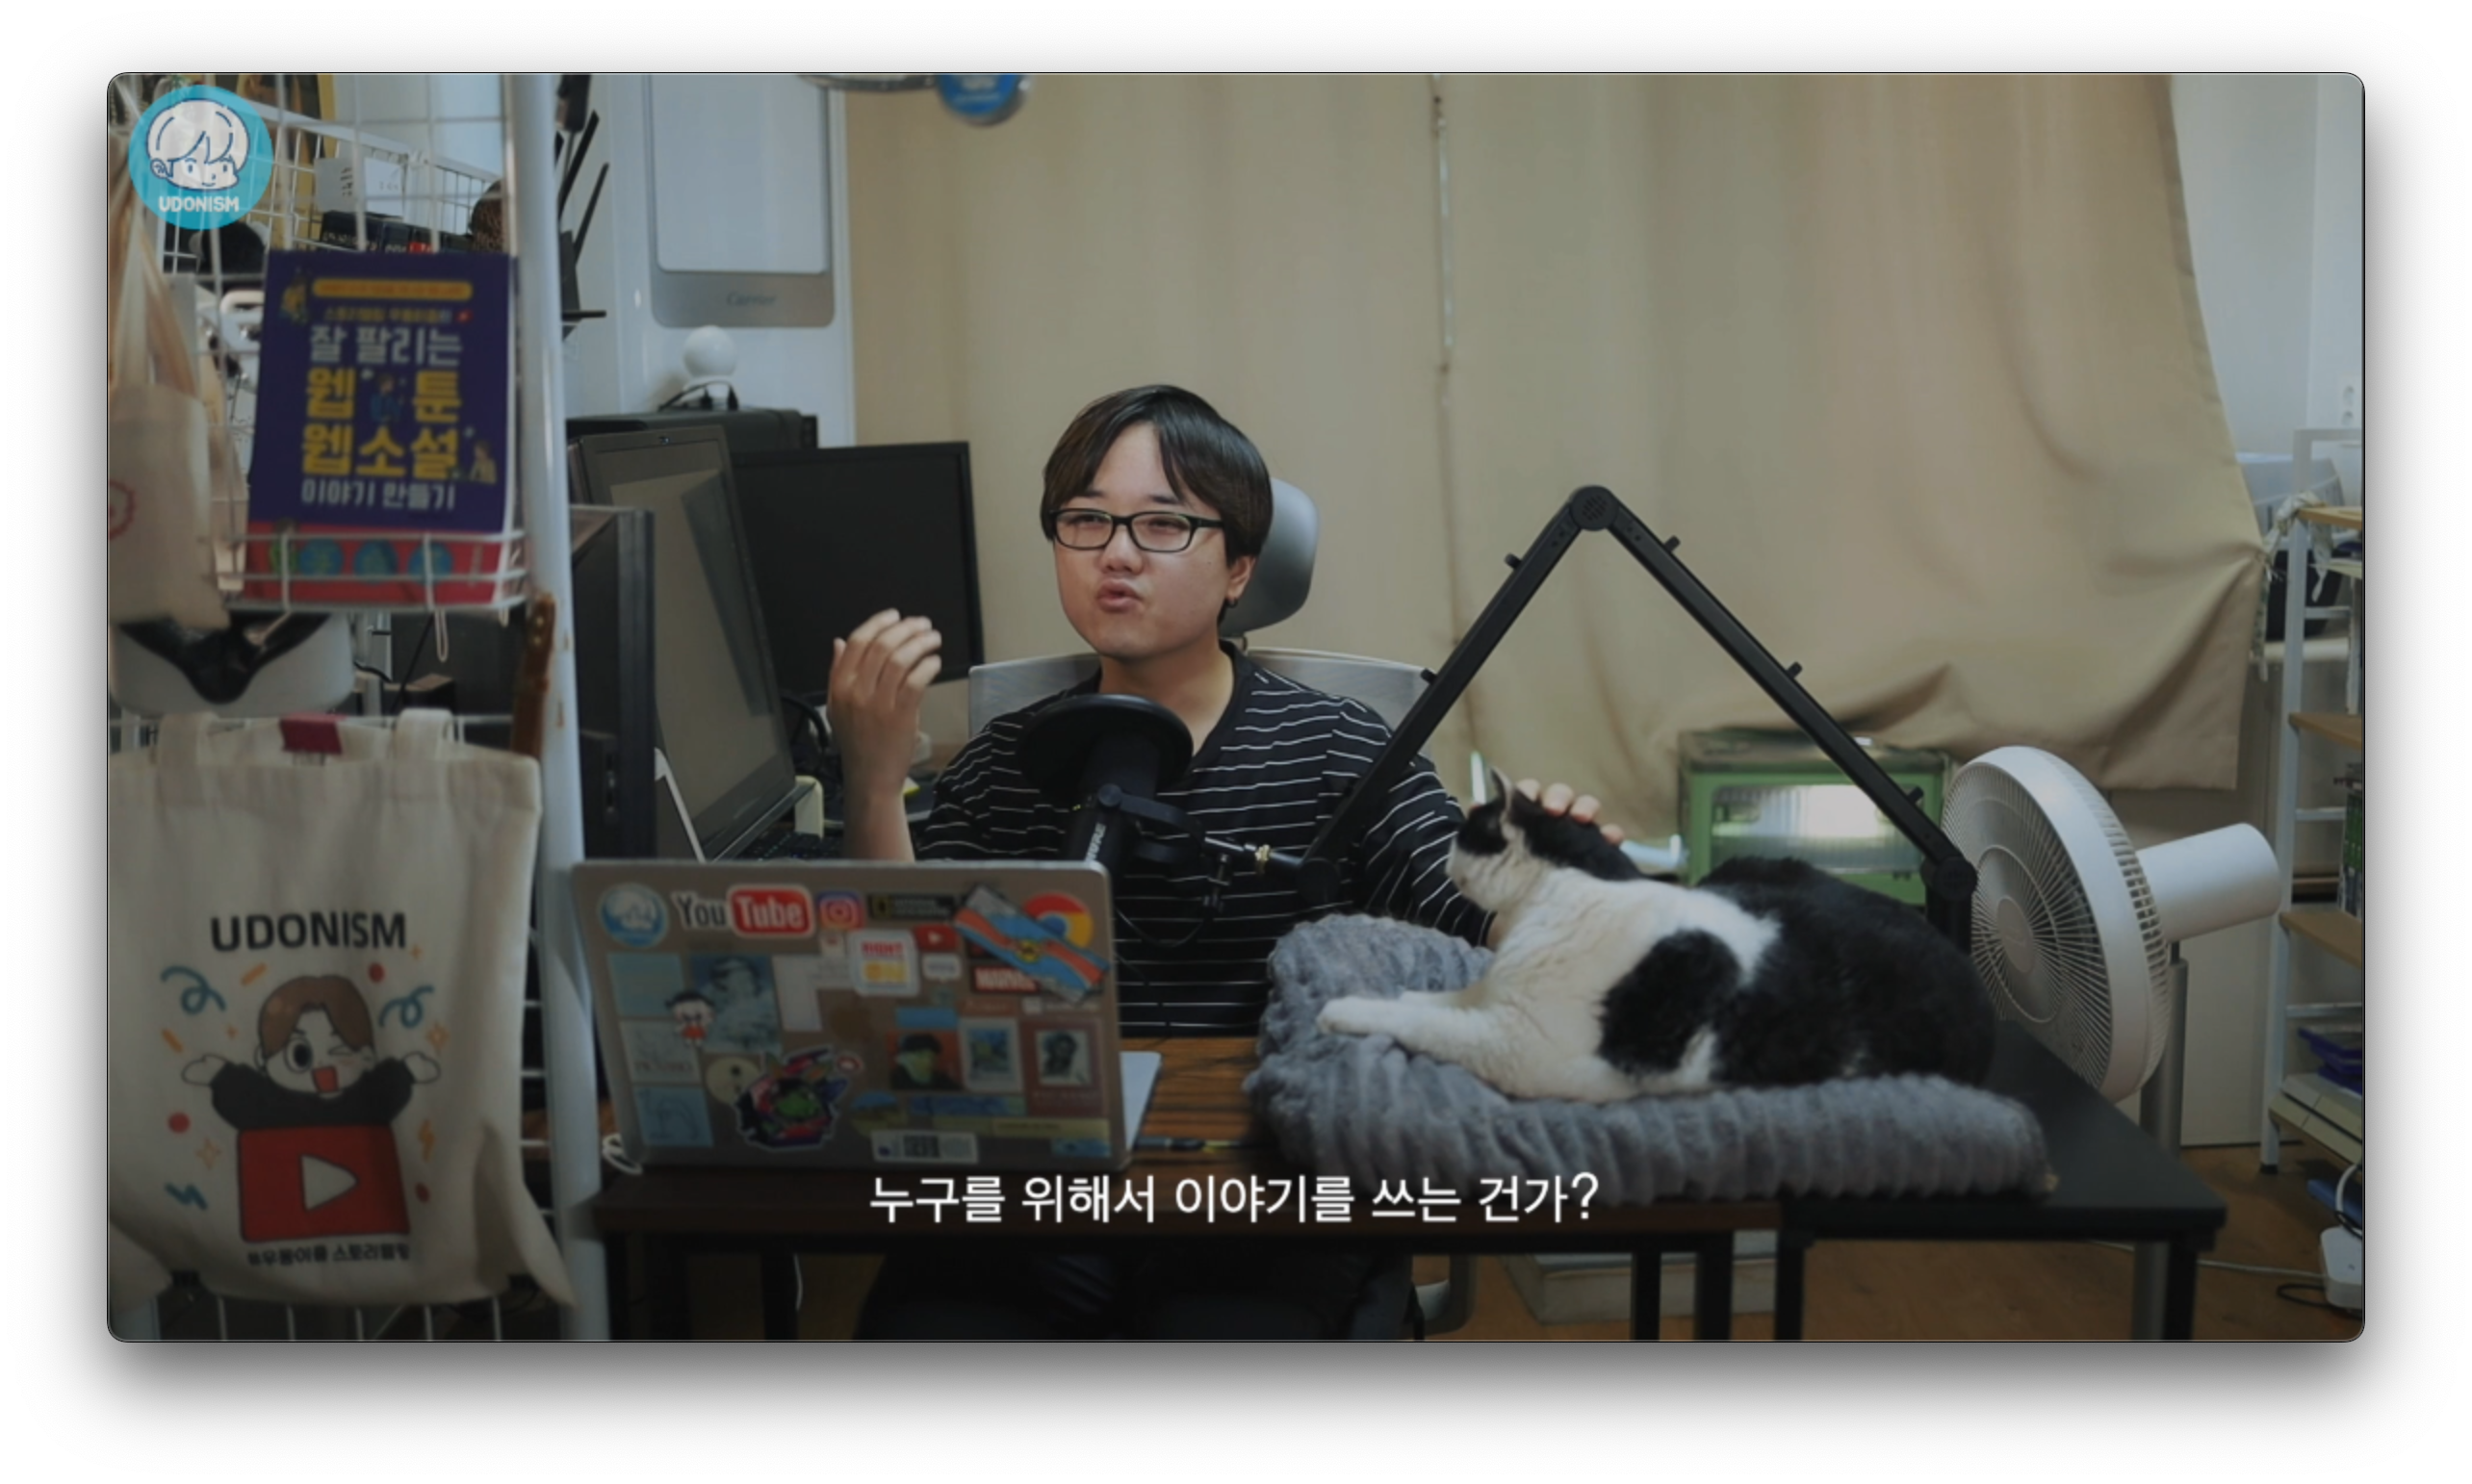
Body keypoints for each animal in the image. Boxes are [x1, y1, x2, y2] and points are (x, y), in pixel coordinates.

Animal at [1315, 774, 1996, 1102]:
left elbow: (1430, 1023)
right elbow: (1440, 1001)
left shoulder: (1520, 1048)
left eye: (1465, 833)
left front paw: (1344, 1011)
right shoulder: (1498, 1000)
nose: (1447, 859)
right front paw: (1401, 996)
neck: (1563, 895)